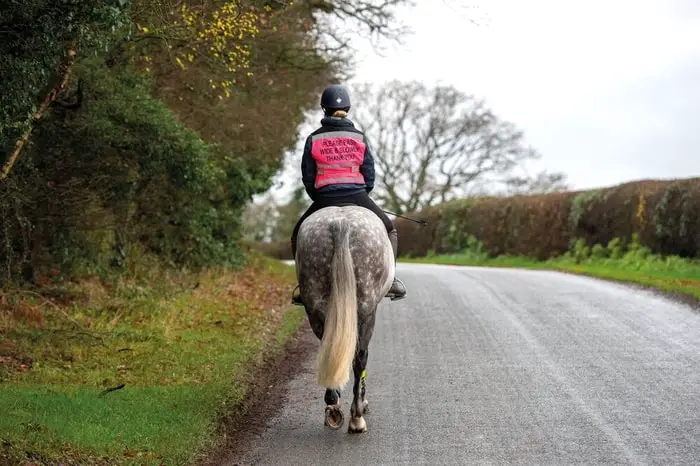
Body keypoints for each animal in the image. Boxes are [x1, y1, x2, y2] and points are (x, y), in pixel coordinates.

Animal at [294, 206, 396, 432]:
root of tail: (340, 223)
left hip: (315, 306)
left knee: (329, 348)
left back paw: (333, 407)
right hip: (366, 311)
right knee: (360, 358)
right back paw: (356, 417)